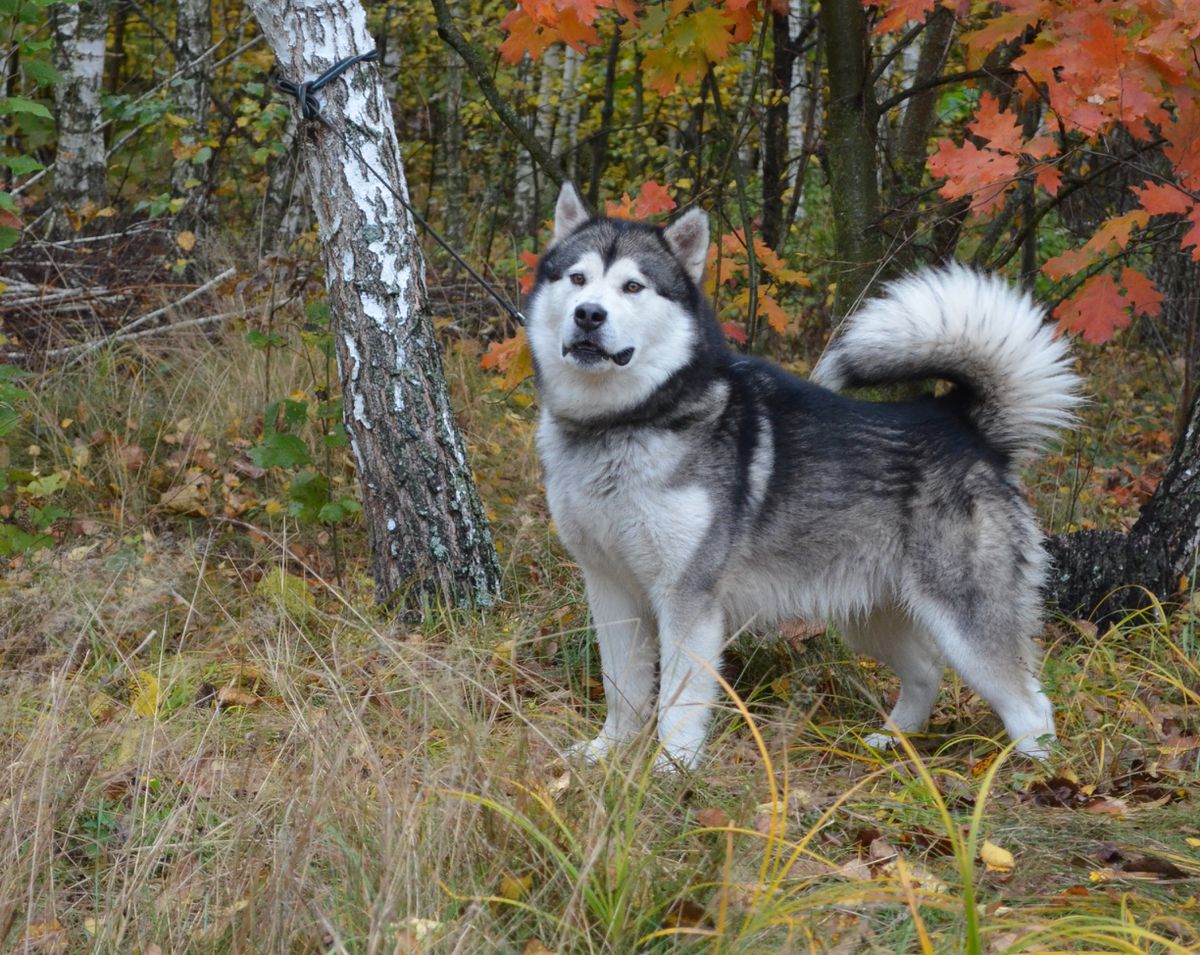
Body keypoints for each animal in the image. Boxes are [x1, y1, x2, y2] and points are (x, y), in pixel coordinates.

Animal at [525, 184, 1080, 767]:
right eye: (577, 279)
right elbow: (623, 688)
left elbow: (678, 701)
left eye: (632, 286)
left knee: (1031, 703)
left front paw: (670, 769)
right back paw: (896, 739)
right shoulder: (610, 589)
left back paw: (1033, 771)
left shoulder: (687, 598)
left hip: (966, 624)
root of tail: (961, 423)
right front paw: (607, 753)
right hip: (869, 619)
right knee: (928, 670)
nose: (589, 314)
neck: (622, 423)